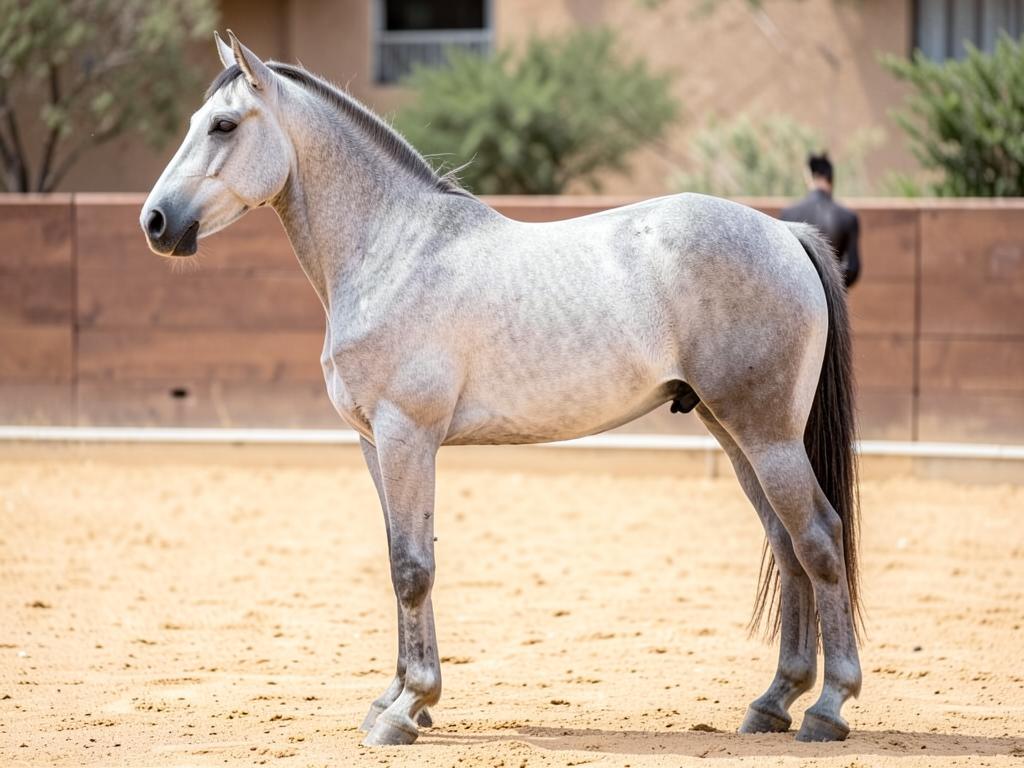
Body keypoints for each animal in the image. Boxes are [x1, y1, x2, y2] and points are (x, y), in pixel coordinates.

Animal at [141, 31, 862, 747]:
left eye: (224, 124)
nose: (155, 222)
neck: (392, 251)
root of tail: (784, 233)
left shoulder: (407, 436)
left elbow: (412, 569)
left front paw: (406, 709)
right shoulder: (377, 444)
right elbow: (402, 561)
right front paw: (397, 699)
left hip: (767, 436)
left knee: (819, 540)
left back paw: (827, 708)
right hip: (734, 431)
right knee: (786, 546)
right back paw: (773, 701)